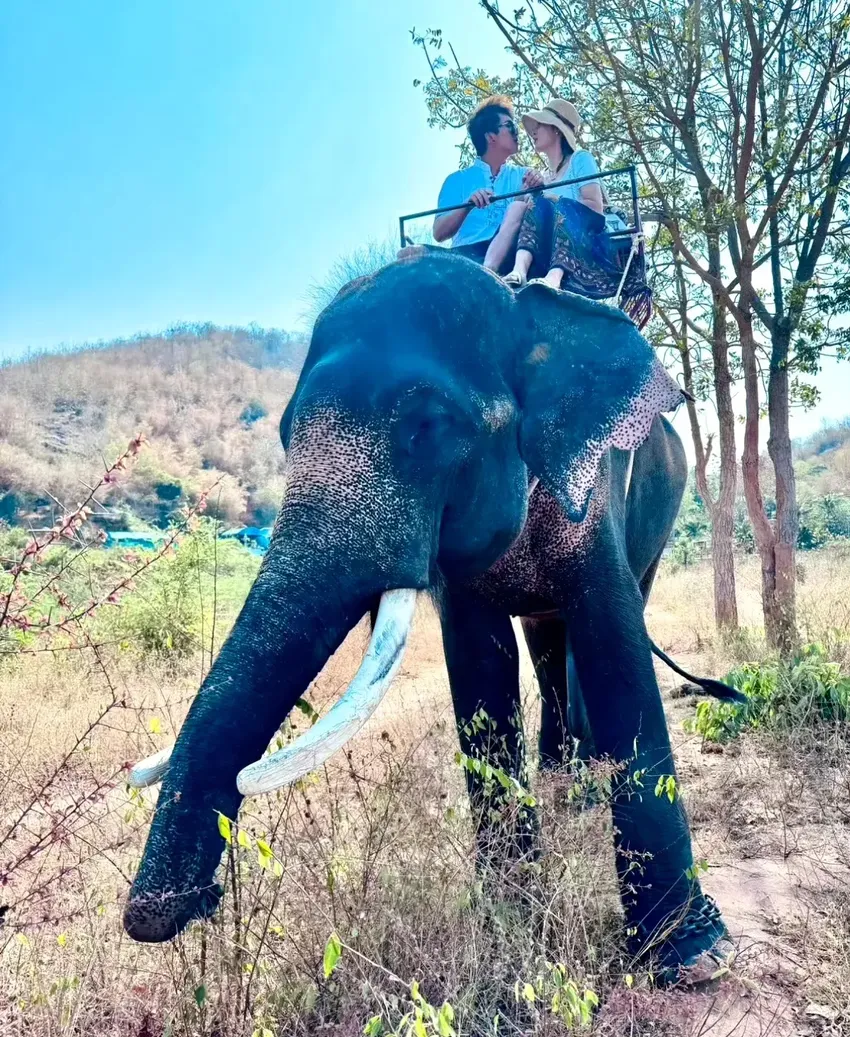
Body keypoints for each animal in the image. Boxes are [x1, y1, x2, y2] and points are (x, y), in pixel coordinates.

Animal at [122, 253, 725, 978]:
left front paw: (690, 955)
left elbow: (613, 639)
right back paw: (563, 780)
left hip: (662, 507)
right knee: (546, 641)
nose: (173, 909)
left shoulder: (598, 491)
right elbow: (481, 667)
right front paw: (511, 932)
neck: (520, 303)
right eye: (284, 435)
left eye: (427, 426)